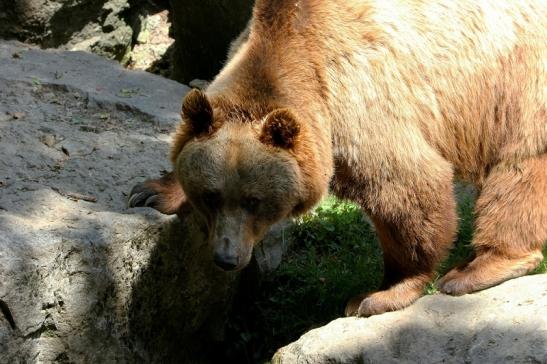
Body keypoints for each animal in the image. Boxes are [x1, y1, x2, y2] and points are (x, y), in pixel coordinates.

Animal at [130, 0, 547, 316]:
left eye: (254, 201)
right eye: (211, 195)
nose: (226, 258)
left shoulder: (360, 96)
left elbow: (407, 187)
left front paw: (378, 294)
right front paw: (152, 191)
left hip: (522, 80)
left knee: (520, 167)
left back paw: (478, 268)